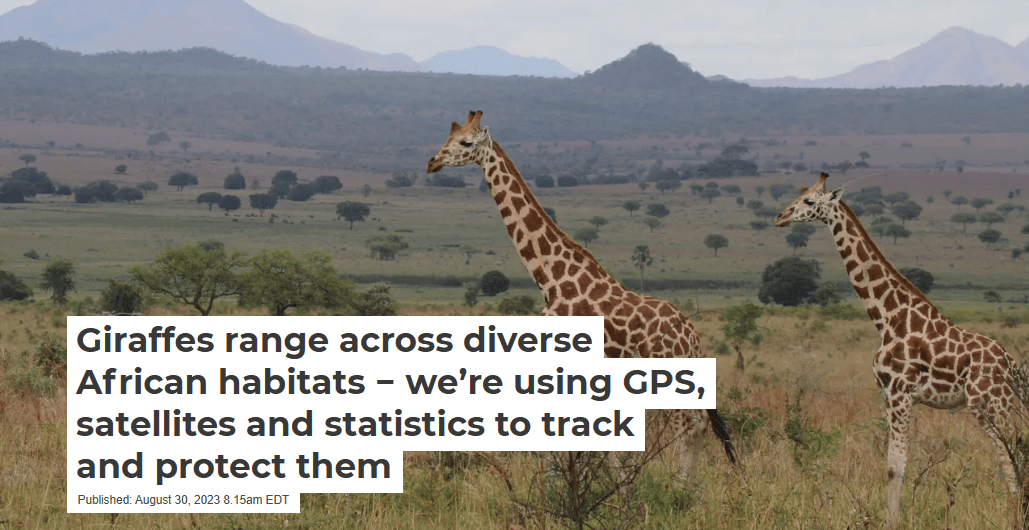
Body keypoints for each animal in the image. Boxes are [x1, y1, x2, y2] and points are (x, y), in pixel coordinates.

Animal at [427, 110, 735, 472]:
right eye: (447, 139)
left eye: (465, 143)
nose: (432, 162)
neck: (551, 278)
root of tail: (693, 337)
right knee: (698, 424)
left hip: (669, 374)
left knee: (686, 425)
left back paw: (680, 484)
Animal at [776, 172, 1019, 527]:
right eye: (799, 194)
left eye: (808, 201)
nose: (780, 217)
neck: (887, 318)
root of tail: (1014, 365)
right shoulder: (889, 395)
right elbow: (894, 464)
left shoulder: (899, 393)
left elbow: (895, 466)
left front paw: (892, 521)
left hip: (989, 405)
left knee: (1011, 454)